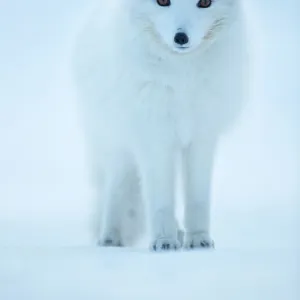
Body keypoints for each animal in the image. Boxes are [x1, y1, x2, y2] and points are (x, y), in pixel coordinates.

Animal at [72, 0, 248, 251]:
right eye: (163, 2)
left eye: (205, 3)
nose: (181, 37)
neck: (182, 77)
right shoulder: (154, 138)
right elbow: (160, 199)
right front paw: (164, 240)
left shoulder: (202, 137)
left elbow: (198, 198)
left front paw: (198, 239)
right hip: (117, 146)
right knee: (115, 188)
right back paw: (110, 237)